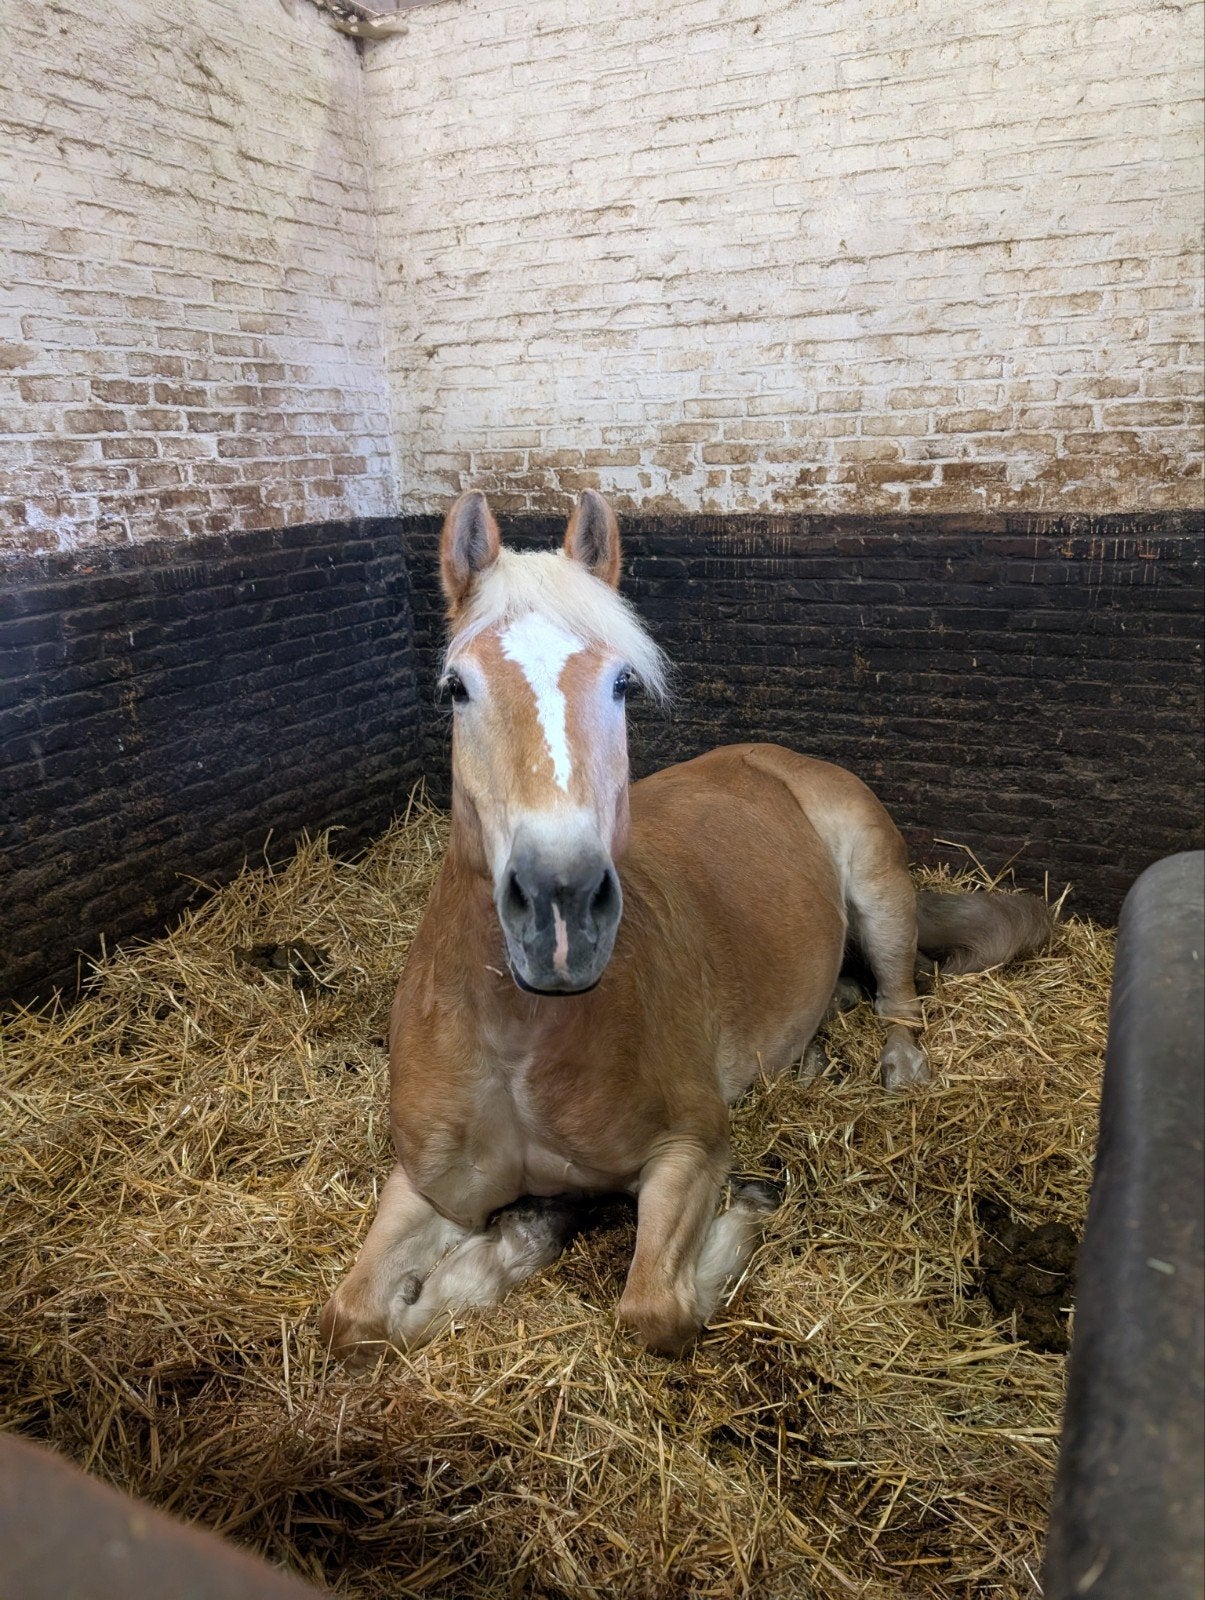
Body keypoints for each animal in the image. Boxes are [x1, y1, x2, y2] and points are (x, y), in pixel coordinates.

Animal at [319, 489, 1053, 1361]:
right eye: (456, 687)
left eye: (622, 684)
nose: (561, 910)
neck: (520, 1043)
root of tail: (774, 758)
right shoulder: (428, 1183)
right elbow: (355, 1316)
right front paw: (513, 1243)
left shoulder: (689, 1145)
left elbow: (654, 1308)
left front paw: (747, 1206)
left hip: (877, 889)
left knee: (897, 991)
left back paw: (899, 1069)